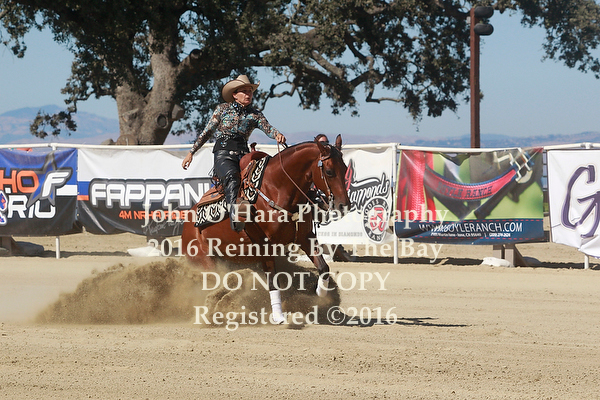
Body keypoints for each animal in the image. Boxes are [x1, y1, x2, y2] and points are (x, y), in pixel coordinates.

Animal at [182, 134, 351, 323]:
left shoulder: (305, 237)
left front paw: (320, 294)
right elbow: (272, 280)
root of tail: (187, 225)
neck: (277, 189)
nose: (344, 205)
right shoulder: (264, 245)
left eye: (345, 168)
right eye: (329, 171)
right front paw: (278, 316)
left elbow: (323, 267)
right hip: (205, 261)